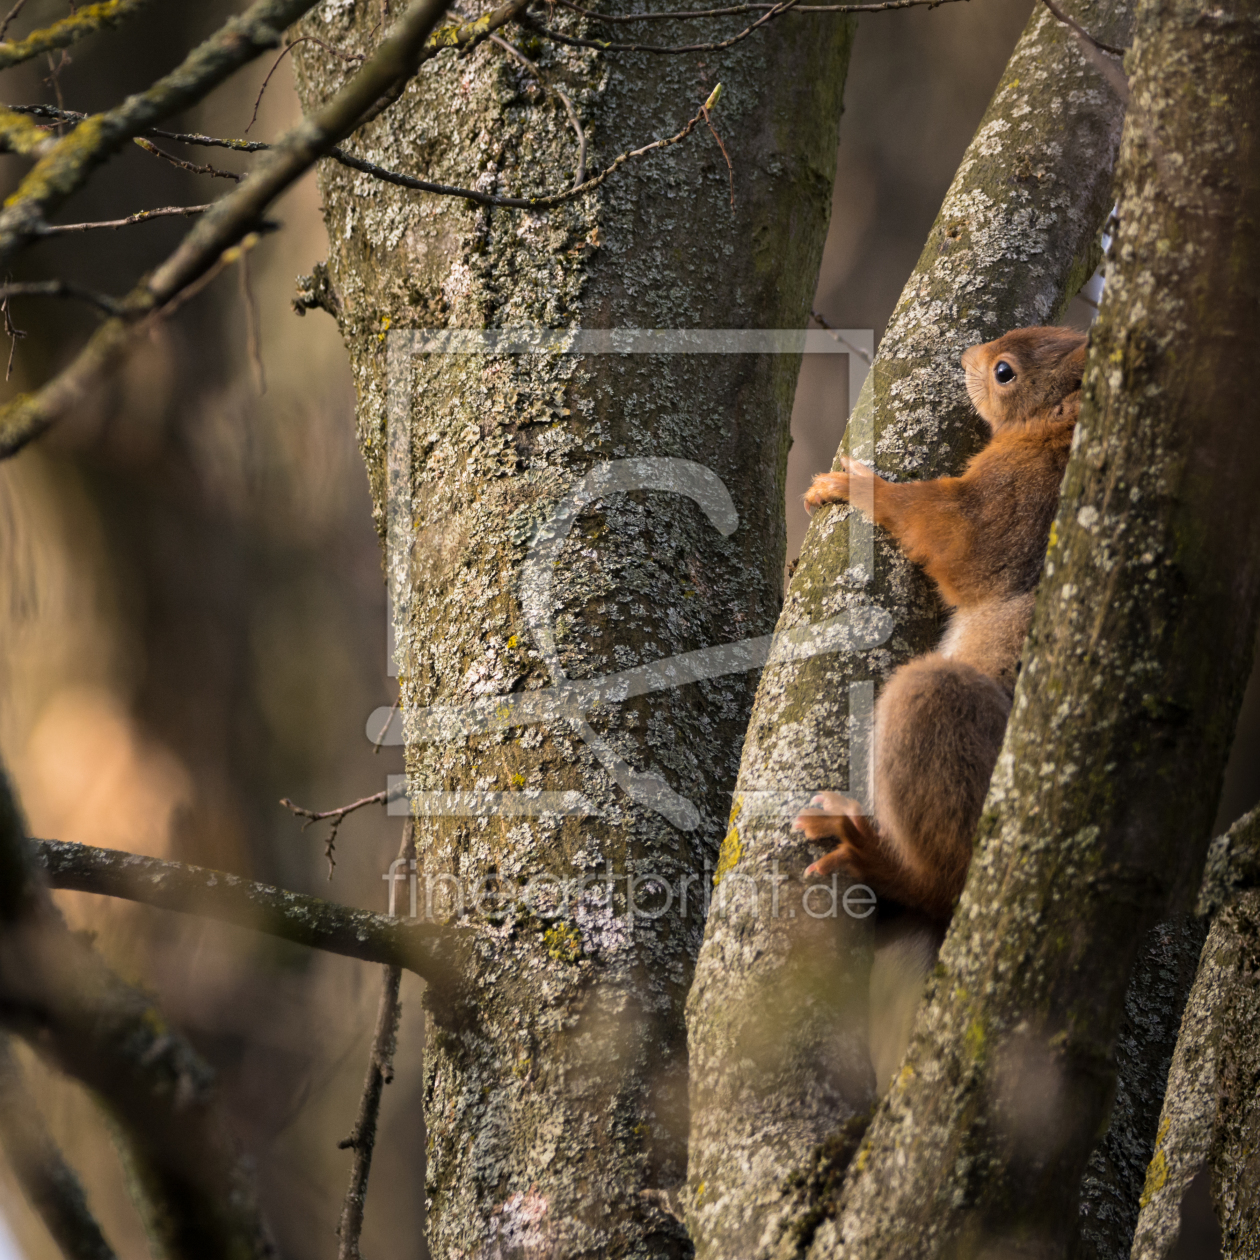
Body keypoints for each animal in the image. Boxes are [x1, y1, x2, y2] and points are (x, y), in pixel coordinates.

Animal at [796, 327, 1083, 927]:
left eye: (1004, 372)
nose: (966, 356)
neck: (1060, 433)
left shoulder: (1020, 500)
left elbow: (957, 540)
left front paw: (858, 487)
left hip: (947, 721)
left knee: (939, 885)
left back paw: (873, 857)